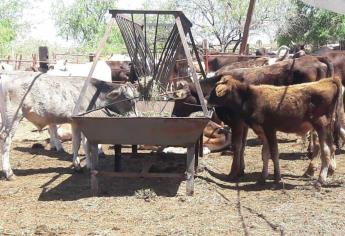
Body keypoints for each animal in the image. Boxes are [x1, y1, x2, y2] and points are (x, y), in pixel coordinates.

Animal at [0, 71, 137, 179]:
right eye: (128, 99)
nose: (135, 116)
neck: (94, 93)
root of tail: (7, 77)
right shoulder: (83, 120)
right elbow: (84, 143)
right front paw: (87, 165)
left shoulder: (75, 122)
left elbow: (76, 143)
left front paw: (78, 165)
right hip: (13, 116)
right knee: (6, 139)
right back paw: (9, 173)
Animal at [207, 76, 342, 185]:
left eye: (214, 90)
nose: (207, 101)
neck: (250, 97)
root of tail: (329, 80)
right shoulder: (261, 130)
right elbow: (265, 154)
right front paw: (263, 177)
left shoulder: (269, 128)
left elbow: (274, 152)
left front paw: (277, 177)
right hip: (327, 127)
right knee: (332, 147)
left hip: (321, 125)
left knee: (326, 150)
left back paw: (320, 180)